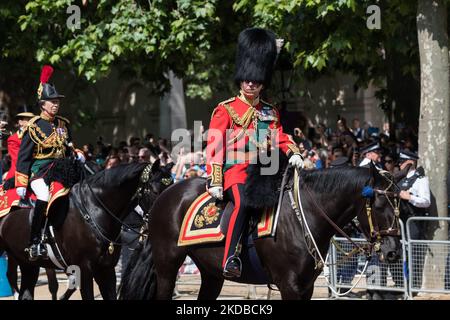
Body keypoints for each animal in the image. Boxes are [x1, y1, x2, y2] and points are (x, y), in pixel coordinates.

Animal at [0, 162, 172, 300]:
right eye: (155, 191)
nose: (168, 220)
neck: (95, 209)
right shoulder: (84, 268)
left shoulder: (106, 269)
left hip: (27, 263)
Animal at [118, 164, 400, 302]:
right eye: (379, 203)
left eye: (398, 202)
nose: (393, 252)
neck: (303, 216)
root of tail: (165, 196)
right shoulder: (289, 285)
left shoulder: (306, 287)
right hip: (167, 264)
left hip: (211, 273)